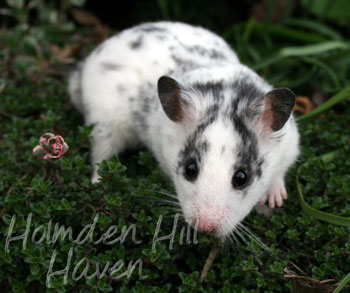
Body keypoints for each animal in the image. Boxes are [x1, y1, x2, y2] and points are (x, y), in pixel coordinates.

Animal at [68, 22, 298, 237]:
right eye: (190, 169)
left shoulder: (290, 147)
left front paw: (276, 201)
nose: (205, 227)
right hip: (104, 127)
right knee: (99, 159)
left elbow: (279, 174)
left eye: (241, 178)